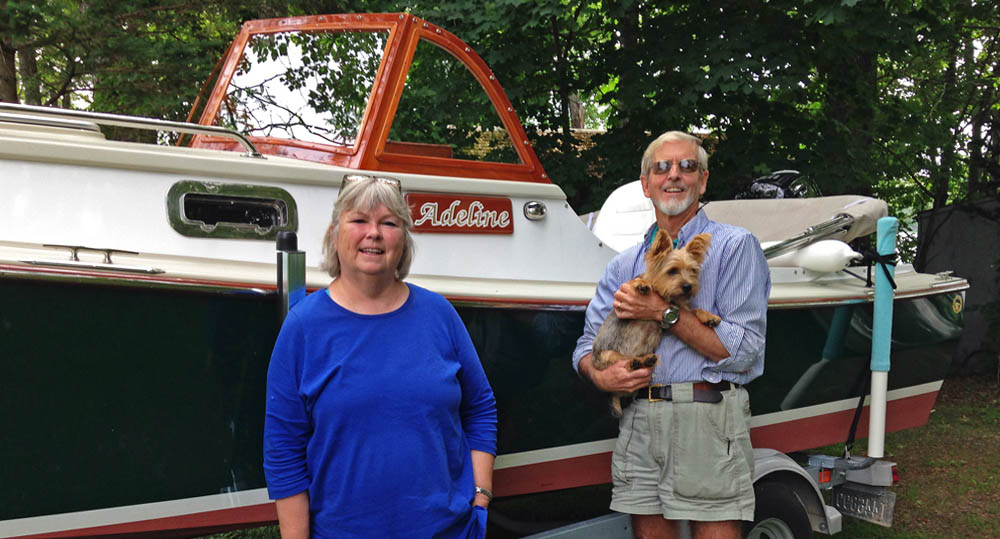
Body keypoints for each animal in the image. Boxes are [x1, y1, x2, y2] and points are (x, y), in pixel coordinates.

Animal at [591, 230, 721, 416]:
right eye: (672, 271)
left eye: (693, 271)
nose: (688, 286)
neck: (666, 296)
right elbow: (634, 282)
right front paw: (642, 284)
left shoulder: (681, 308)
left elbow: (694, 310)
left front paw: (708, 316)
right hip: (608, 356)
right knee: (623, 361)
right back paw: (637, 362)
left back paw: (646, 361)